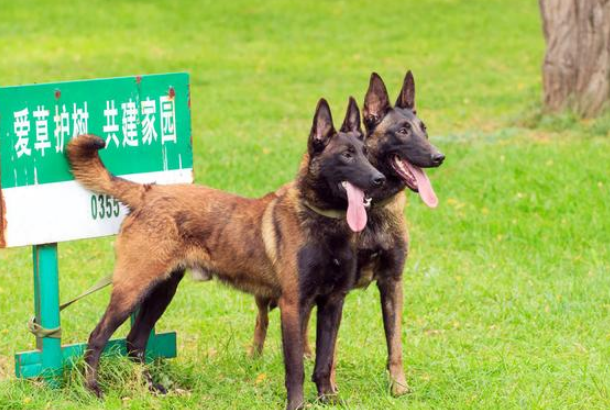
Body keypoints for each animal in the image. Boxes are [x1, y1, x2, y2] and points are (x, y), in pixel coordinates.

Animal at [66, 97, 384, 410]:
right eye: (346, 155)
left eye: (366, 154)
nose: (379, 179)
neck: (323, 221)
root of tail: (148, 192)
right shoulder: (294, 306)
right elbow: (296, 368)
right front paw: (297, 404)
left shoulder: (332, 304)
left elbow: (324, 361)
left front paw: (327, 398)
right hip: (133, 289)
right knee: (98, 337)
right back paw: (92, 389)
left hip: (162, 290)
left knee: (135, 342)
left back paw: (151, 389)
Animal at [249, 71, 444, 398]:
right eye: (403, 131)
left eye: (424, 130)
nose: (438, 156)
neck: (371, 210)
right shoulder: (338, 290)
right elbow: (331, 349)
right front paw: (330, 387)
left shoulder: (392, 282)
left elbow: (394, 342)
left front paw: (398, 385)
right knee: (263, 318)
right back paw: (255, 354)